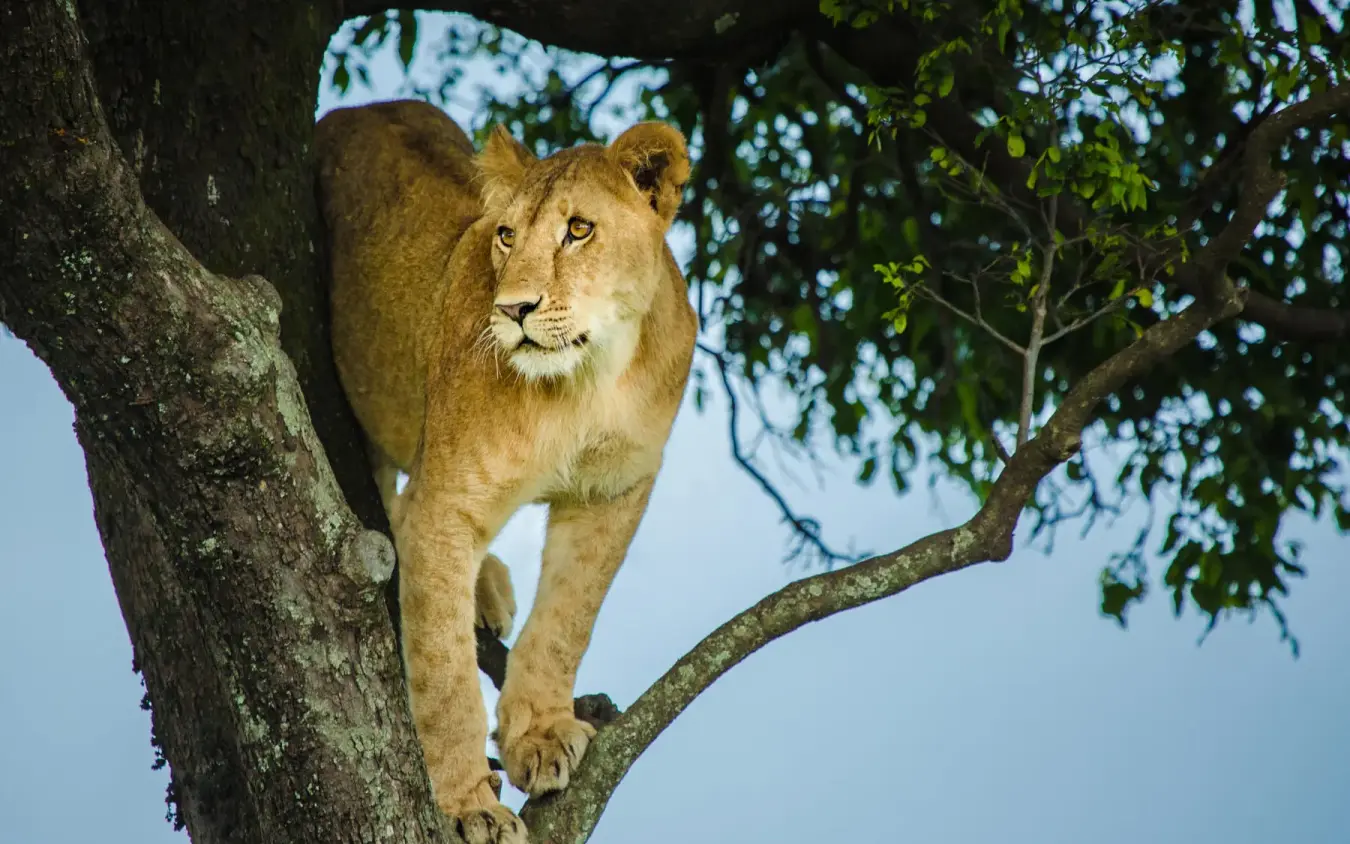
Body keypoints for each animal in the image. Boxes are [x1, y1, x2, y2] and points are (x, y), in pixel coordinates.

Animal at [314, 98, 697, 843]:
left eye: (579, 230)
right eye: (507, 236)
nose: (513, 309)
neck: (588, 378)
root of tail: (356, 107)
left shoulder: (615, 489)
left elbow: (567, 620)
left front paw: (540, 736)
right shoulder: (446, 501)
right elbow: (443, 673)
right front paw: (467, 808)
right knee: (393, 500)